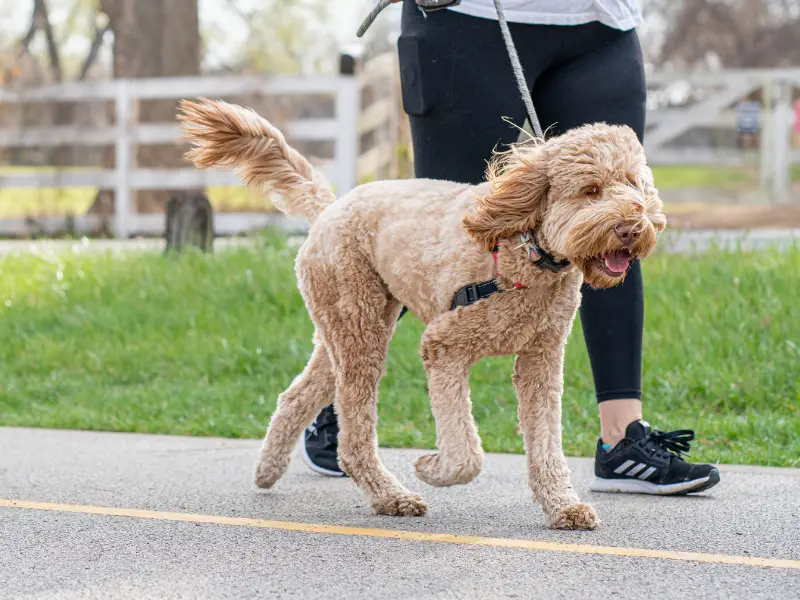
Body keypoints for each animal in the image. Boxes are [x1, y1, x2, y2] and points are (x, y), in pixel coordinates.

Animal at [178, 97, 664, 528]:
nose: (632, 227)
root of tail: (330, 208)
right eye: (591, 190)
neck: (524, 251)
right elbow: (466, 453)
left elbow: (546, 444)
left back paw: (268, 470)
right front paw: (433, 468)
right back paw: (390, 497)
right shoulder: (444, 346)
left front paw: (563, 506)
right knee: (354, 436)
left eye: (633, 185)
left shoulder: (540, 361)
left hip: (348, 328)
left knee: (296, 396)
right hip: (360, 329)